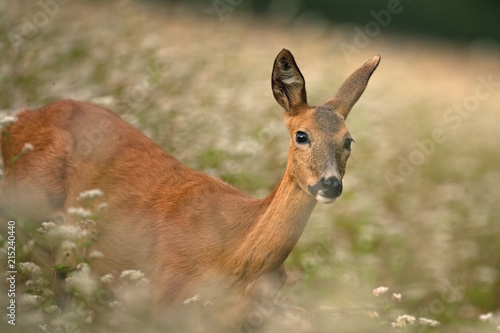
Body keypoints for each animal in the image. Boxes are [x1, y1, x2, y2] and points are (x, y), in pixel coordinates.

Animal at [0, 48, 378, 316]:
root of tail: (19, 119)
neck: (235, 256)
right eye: (302, 135)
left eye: (348, 141)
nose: (330, 184)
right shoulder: (162, 293)